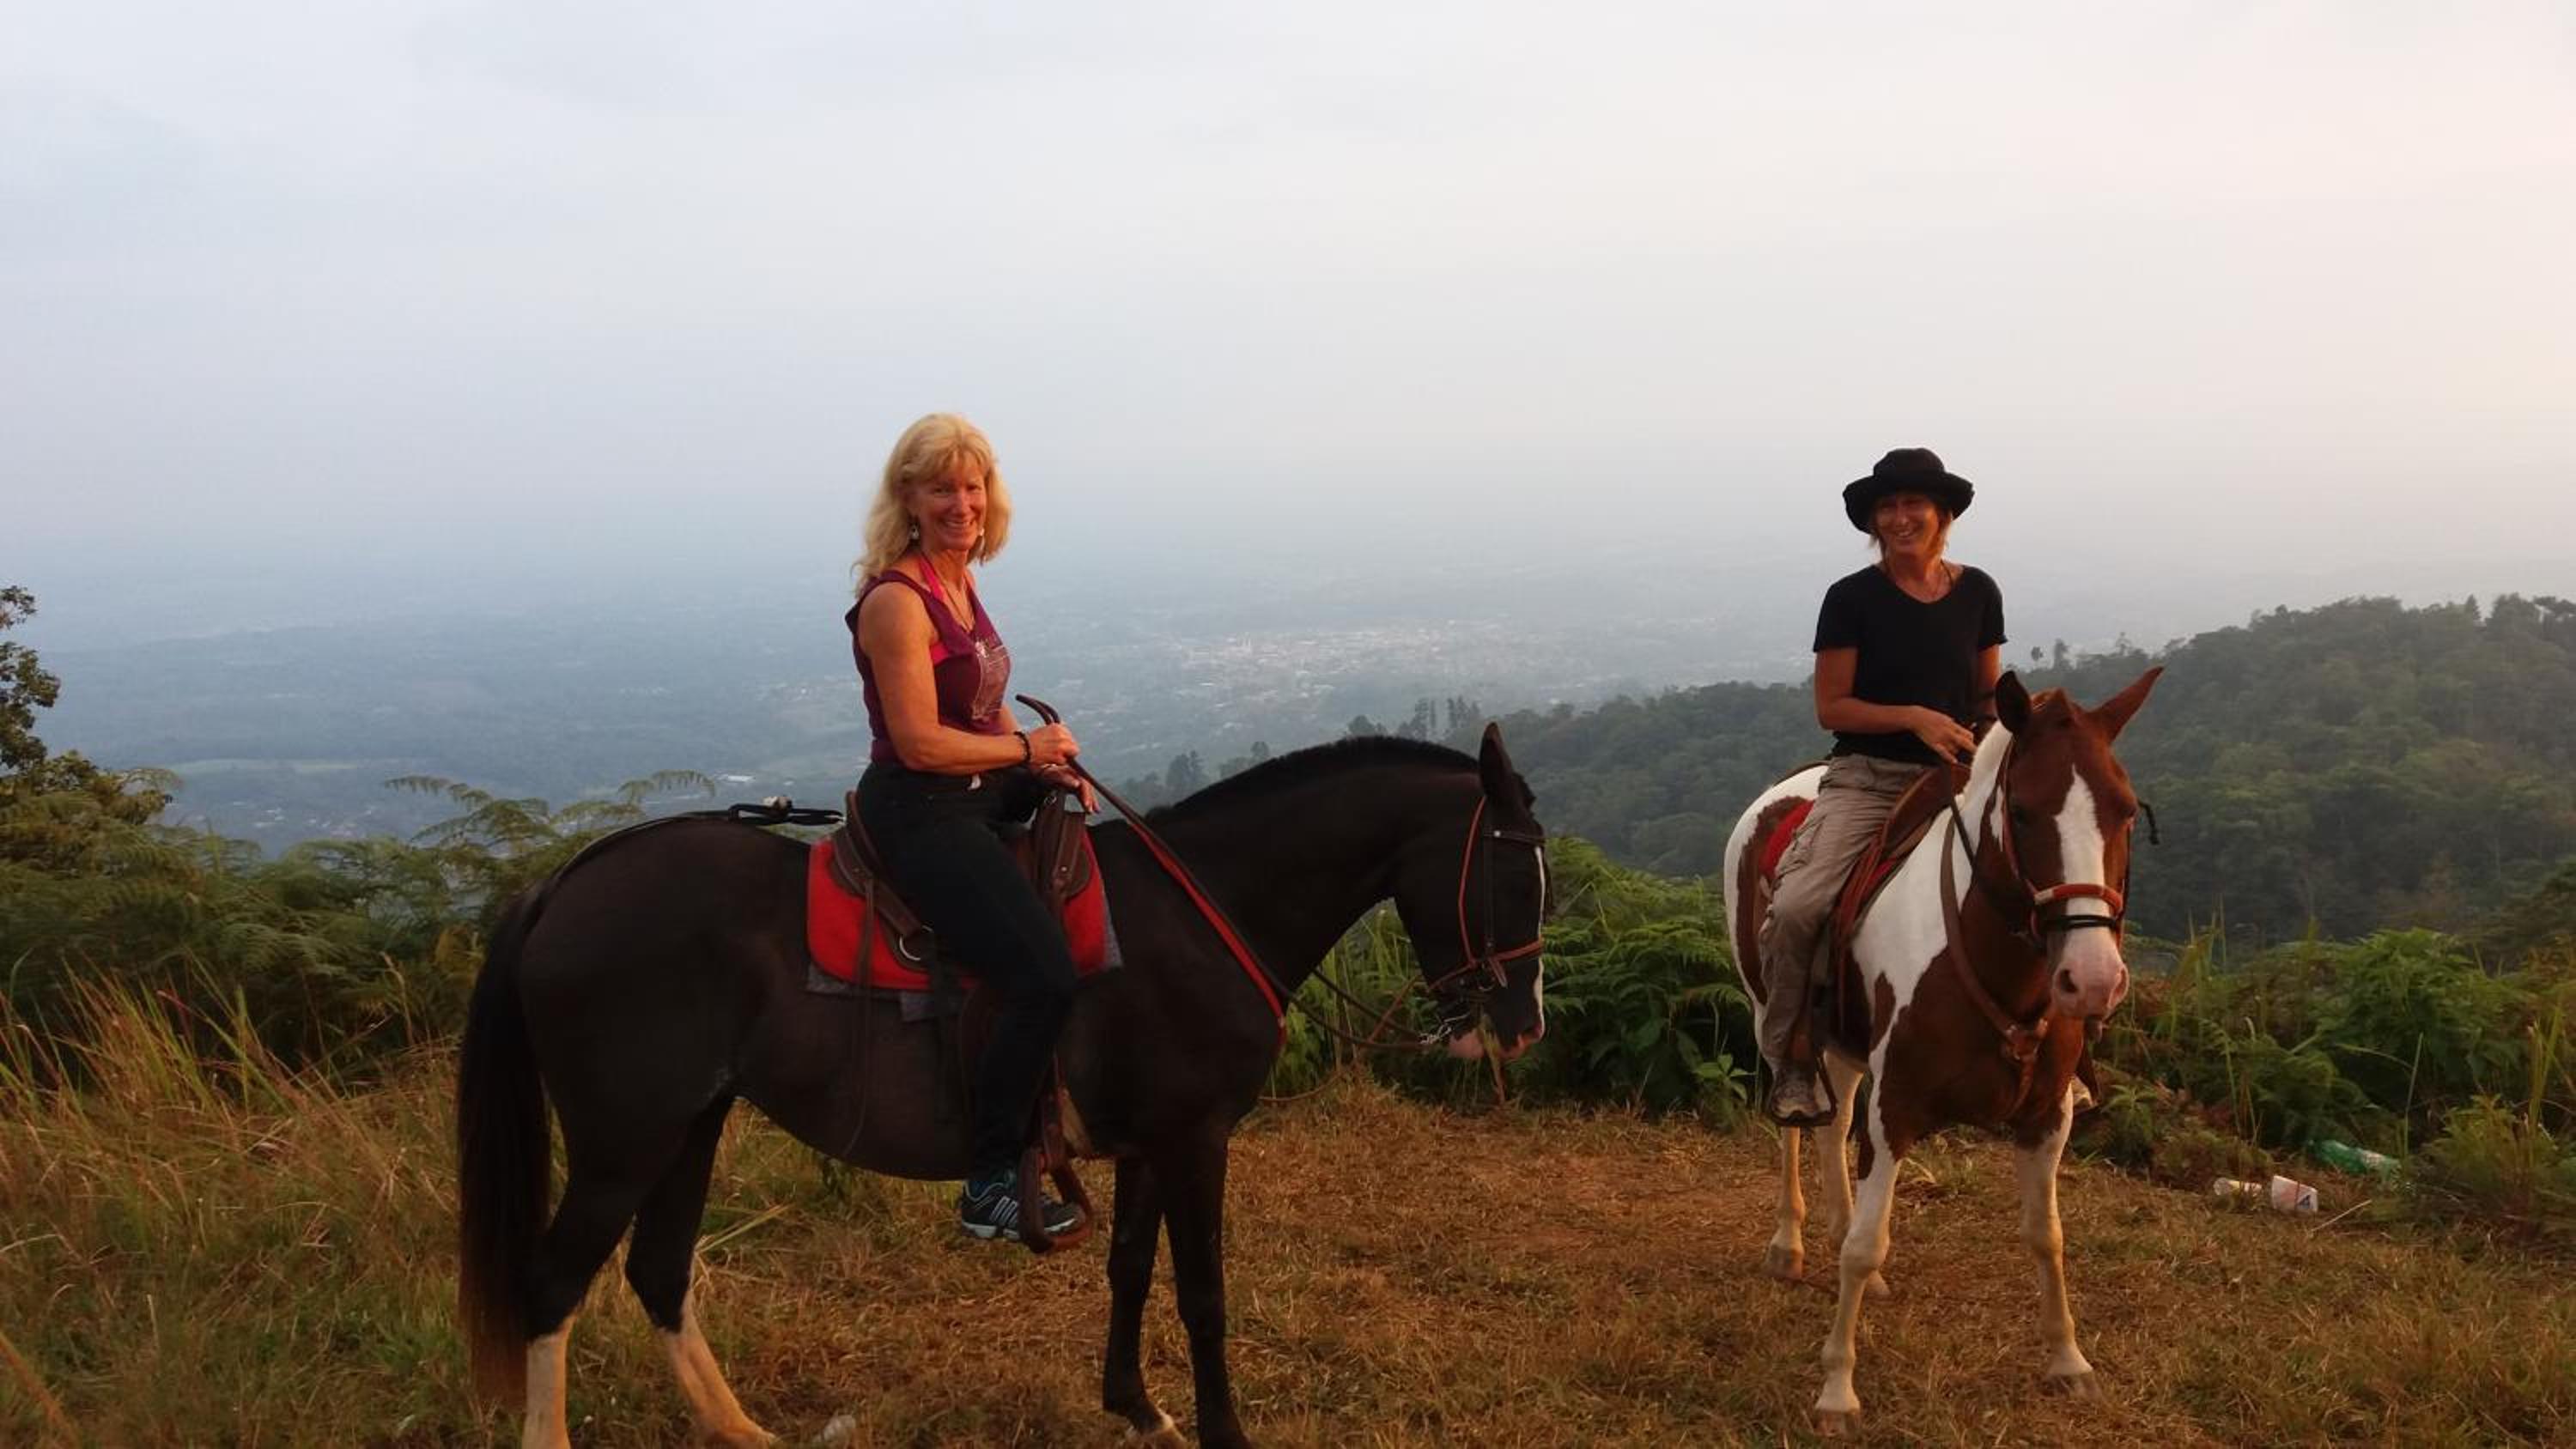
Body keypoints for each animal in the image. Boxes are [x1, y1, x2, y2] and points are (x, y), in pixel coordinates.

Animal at [455, 726, 1548, 1449]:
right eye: (1511, 874)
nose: (1523, 1022)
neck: (1203, 910)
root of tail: (564, 881)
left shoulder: (1147, 1138)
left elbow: (1129, 1267)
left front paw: (1137, 1405)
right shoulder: (1195, 1137)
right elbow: (1202, 1293)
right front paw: (1221, 1431)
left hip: (691, 1123)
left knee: (659, 1271)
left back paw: (742, 1430)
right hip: (622, 1140)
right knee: (552, 1285)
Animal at [1721, 668, 2159, 1434]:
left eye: (2126, 811)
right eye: (2022, 813)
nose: (2092, 980)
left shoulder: (2047, 1117)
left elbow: (2046, 1234)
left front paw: (2068, 1361)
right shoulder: (1895, 1108)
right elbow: (1869, 1244)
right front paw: (1838, 1390)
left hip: (1845, 1041)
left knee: (1835, 1122)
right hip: (1768, 1008)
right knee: (1795, 1123)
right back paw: (1790, 1244)